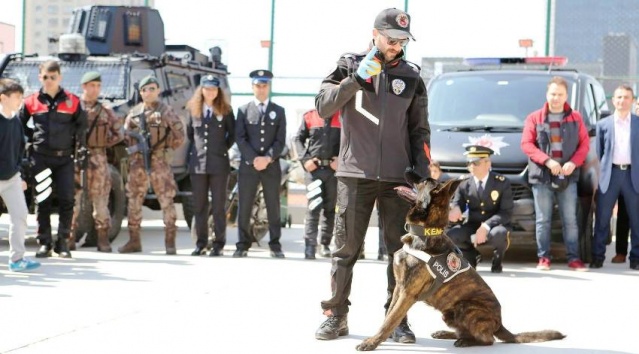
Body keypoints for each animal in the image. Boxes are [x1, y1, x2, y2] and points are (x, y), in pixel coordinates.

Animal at [358, 172, 568, 352]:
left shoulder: (407, 293)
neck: (425, 233)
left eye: (423, 180)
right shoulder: (399, 288)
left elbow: (391, 319)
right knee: (465, 331)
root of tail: (500, 323)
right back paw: (447, 334)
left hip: (465, 307)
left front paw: (371, 342)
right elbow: (389, 315)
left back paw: (466, 341)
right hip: (449, 313)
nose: (408, 168)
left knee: (488, 339)